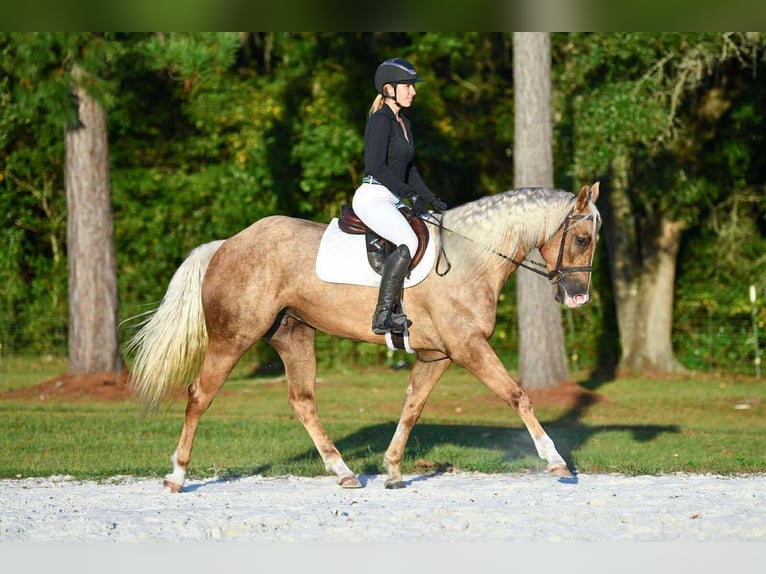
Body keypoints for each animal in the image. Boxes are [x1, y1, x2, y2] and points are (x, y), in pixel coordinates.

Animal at [127, 182, 601, 492]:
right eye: (581, 238)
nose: (578, 296)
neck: (469, 258)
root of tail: (227, 244)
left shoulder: (437, 356)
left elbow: (412, 408)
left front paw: (391, 470)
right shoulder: (468, 348)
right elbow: (517, 396)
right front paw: (556, 463)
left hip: (294, 335)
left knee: (303, 401)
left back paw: (344, 472)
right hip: (233, 337)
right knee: (199, 395)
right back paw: (176, 476)